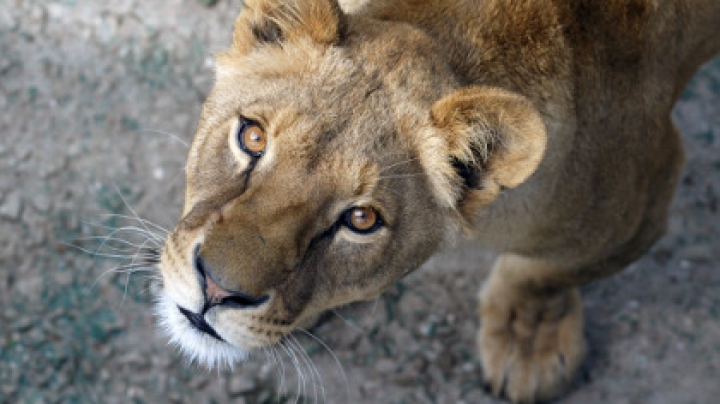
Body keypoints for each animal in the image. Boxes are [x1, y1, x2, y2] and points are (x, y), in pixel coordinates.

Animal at [156, 1, 720, 402]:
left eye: (361, 220)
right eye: (251, 137)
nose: (216, 289)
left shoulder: (649, 192)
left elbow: (538, 272)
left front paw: (527, 344)